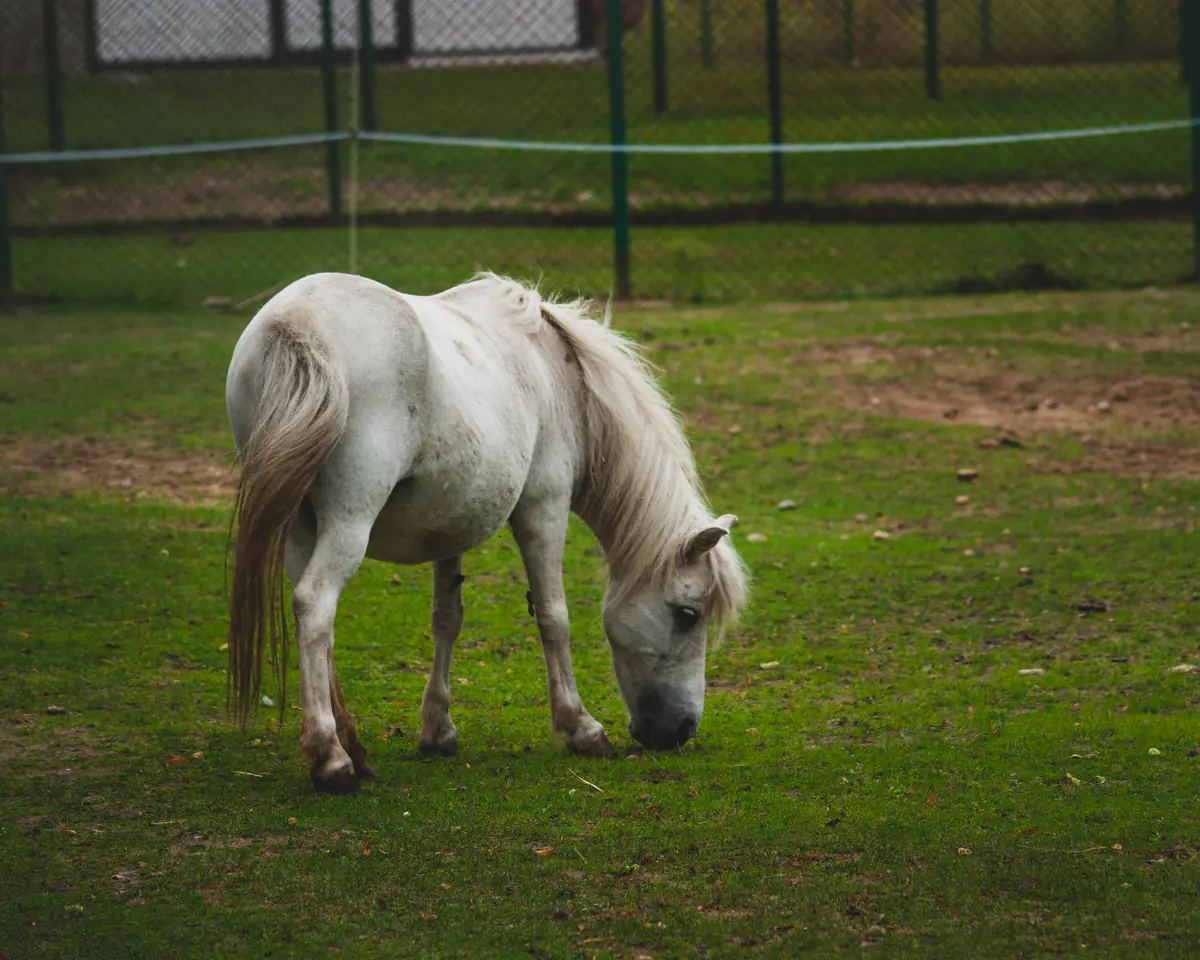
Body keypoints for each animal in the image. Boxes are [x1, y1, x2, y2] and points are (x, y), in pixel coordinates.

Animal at [224, 271, 748, 793]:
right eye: (688, 614)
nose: (682, 730)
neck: (561, 380)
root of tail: (295, 324)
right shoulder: (543, 507)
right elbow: (554, 617)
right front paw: (581, 728)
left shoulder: (447, 529)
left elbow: (447, 618)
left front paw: (438, 731)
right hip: (349, 521)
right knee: (315, 606)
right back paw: (332, 759)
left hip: (301, 527)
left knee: (316, 621)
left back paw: (353, 747)